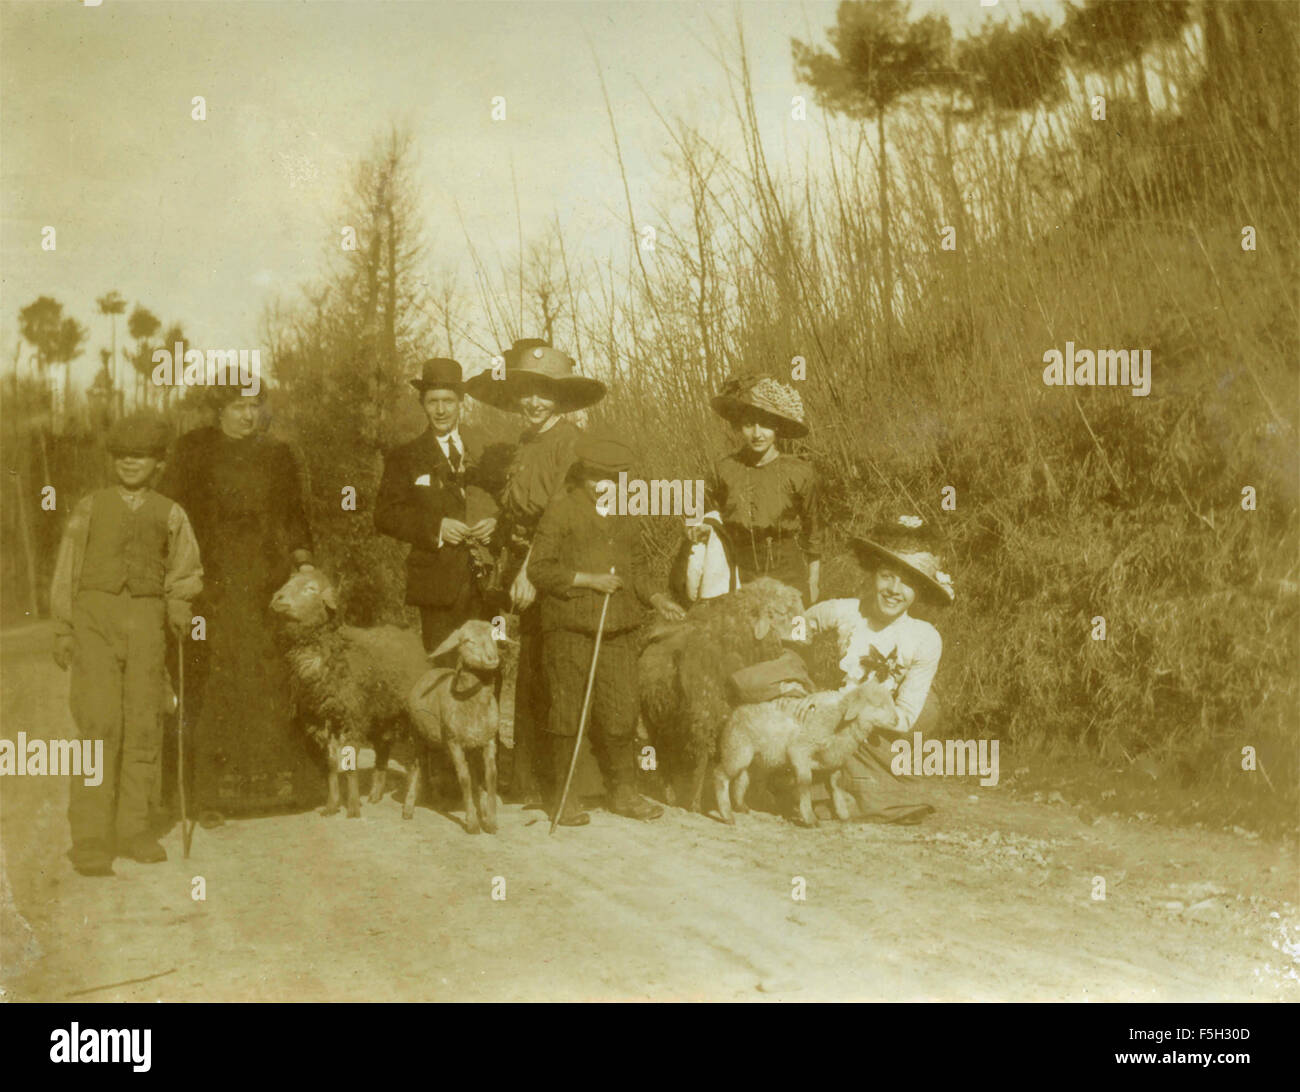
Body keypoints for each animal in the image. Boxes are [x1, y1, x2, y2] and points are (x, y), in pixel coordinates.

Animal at [270, 566, 428, 816]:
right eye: (289, 581)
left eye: (311, 588)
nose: (277, 598)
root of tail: (411, 638)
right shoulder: (322, 720)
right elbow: (331, 765)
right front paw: (332, 805)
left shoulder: (352, 719)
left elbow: (351, 764)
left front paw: (353, 807)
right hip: (380, 715)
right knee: (383, 749)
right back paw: (375, 794)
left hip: (410, 716)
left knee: (416, 758)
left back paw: (409, 805)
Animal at [405, 624, 506, 837]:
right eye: (467, 640)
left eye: (494, 637)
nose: (492, 658)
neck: (474, 706)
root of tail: (430, 672)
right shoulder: (454, 742)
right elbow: (464, 779)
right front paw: (473, 824)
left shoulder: (488, 740)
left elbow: (491, 776)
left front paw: (491, 822)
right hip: (418, 735)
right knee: (417, 765)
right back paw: (409, 808)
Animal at [637, 579, 806, 811]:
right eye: (781, 612)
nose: (806, 640)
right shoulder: (706, 715)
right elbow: (705, 759)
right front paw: (698, 803)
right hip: (663, 718)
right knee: (667, 752)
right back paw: (676, 795)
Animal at [717, 676, 899, 821]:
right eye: (878, 705)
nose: (897, 720)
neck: (837, 721)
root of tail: (733, 714)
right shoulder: (799, 753)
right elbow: (805, 784)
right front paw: (809, 817)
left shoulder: (833, 758)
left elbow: (836, 783)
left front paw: (842, 812)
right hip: (736, 750)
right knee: (720, 775)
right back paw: (726, 815)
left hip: (752, 758)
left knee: (742, 779)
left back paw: (741, 806)